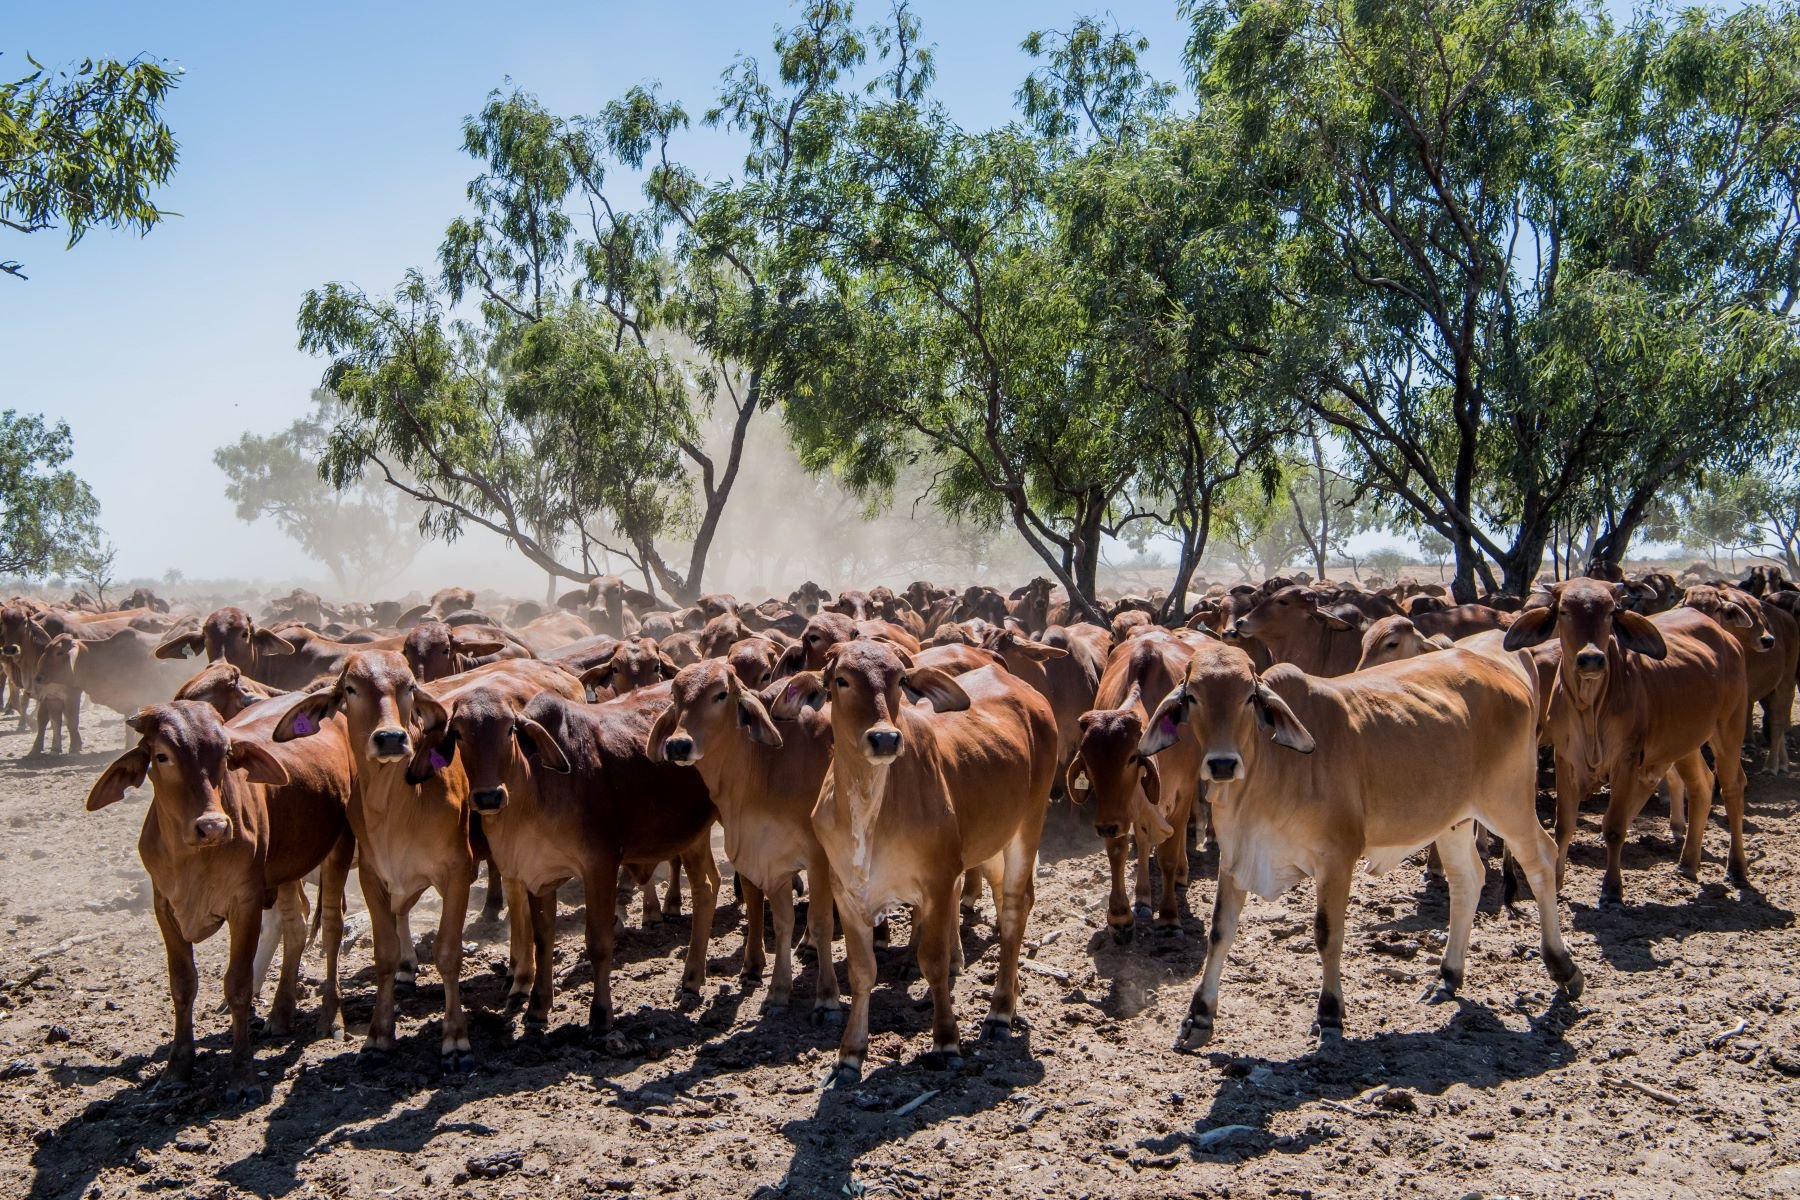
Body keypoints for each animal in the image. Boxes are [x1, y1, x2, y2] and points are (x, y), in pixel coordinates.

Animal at [86, 705, 354, 1108]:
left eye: (226, 755)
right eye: (162, 756)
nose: (212, 826)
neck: (194, 858)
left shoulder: (245, 903)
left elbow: (238, 985)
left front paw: (242, 1076)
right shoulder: (164, 906)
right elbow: (182, 984)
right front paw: (177, 1069)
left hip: (340, 846)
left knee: (333, 927)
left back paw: (330, 1018)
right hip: (287, 869)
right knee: (295, 925)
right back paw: (281, 1014)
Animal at [813, 644, 1051, 1093]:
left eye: (900, 680)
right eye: (841, 679)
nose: (884, 738)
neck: (869, 805)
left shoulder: (938, 883)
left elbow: (935, 962)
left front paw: (946, 1041)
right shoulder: (847, 892)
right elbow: (861, 972)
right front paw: (849, 1055)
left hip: (1028, 823)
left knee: (1015, 906)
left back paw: (999, 1011)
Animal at [1137, 636, 1576, 1050]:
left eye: (1249, 696)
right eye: (1192, 696)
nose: (1223, 764)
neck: (1268, 769)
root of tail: (1500, 669)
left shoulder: (1336, 859)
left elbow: (1327, 933)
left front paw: (1329, 1013)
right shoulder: (1235, 858)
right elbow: (1220, 932)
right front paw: (1198, 1017)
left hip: (1508, 801)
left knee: (1541, 859)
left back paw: (1563, 966)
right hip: (1454, 818)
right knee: (1468, 879)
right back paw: (1447, 976)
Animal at [1497, 582, 1749, 899]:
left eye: (1610, 612)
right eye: (1564, 610)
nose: (1591, 659)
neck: (1589, 707)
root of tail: (1726, 638)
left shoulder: (1626, 760)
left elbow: (1614, 826)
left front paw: (1611, 888)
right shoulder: (1565, 758)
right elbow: (1564, 824)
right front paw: (1556, 881)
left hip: (1729, 727)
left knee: (1732, 786)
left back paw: (1736, 869)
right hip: (1683, 741)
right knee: (1702, 784)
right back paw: (1687, 863)